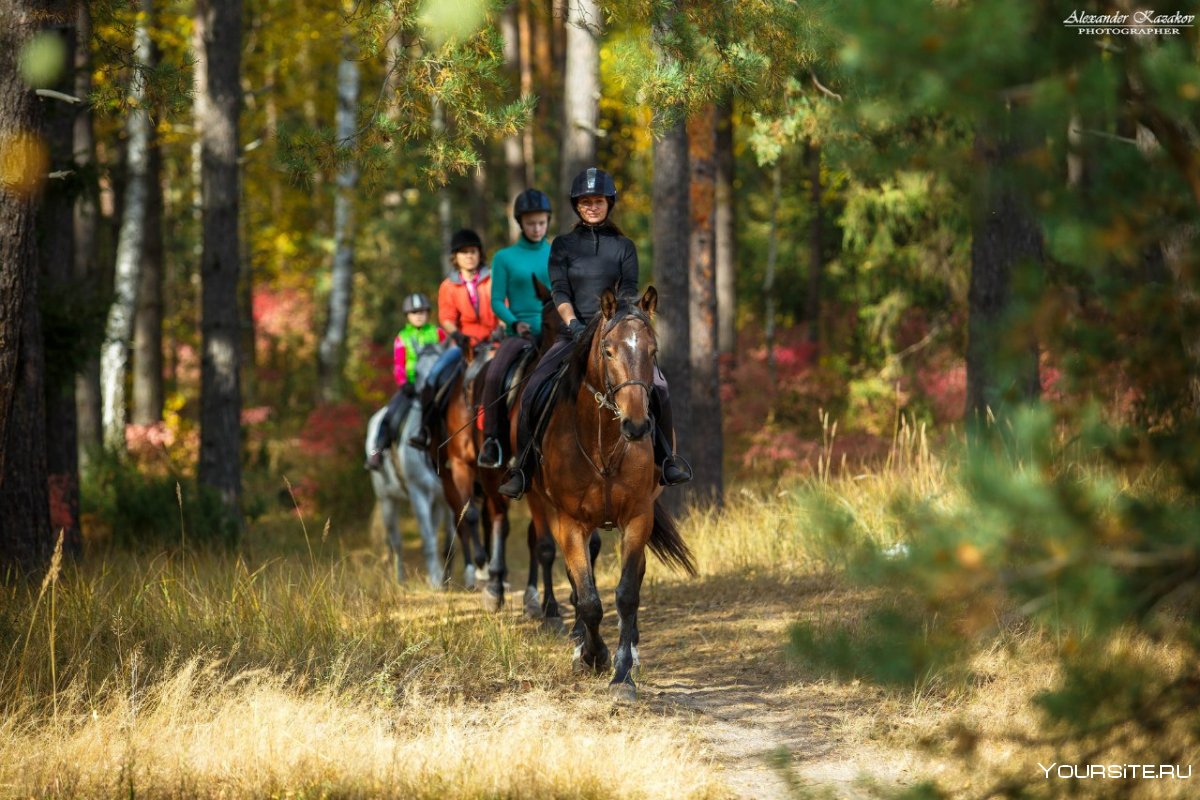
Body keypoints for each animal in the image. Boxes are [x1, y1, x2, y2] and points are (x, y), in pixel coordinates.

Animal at [525, 286, 696, 700]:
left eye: (652, 350)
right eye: (608, 351)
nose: (636, 425)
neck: (602, 441)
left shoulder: (637, 517)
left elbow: (627, 593)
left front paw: (622, 674)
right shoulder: (570, 522)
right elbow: (587, 598)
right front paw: (593, 655)